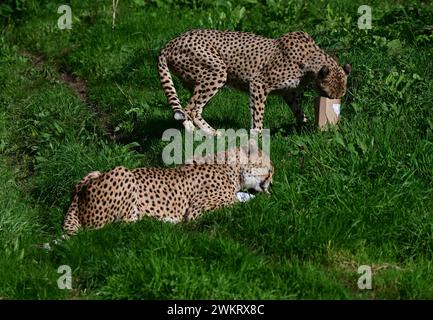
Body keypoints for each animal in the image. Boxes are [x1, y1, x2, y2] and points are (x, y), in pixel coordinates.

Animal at [62, 144, 272, 234]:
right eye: (270, 171)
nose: (271, 186)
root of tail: (77, 198)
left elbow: (239, 198)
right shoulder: (198, 211)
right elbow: (236, 206)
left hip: (93, 173)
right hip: (123, 172)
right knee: (123, 225)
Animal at [159, 28, 352, 135]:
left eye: (341, 95)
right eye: (327, 94)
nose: (333, 104)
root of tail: (171, 42)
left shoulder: (288, 92)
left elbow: (298, 109)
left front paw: (305, 125)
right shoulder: (258, 83)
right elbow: (258, 113)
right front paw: (256, 136)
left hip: (197, 81)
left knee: (190, 108)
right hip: (217, 72)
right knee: (191, 108)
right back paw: (208, 134)